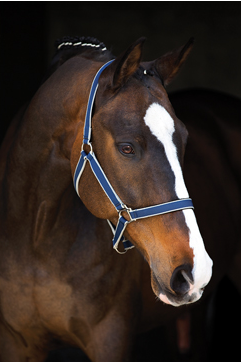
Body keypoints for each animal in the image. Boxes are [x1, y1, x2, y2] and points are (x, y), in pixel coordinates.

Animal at [0, 37, 216, 362]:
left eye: (184, 140)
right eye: (127, 147)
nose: (195, 271)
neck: (36, 239)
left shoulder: (110, 339)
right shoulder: (16, 342)